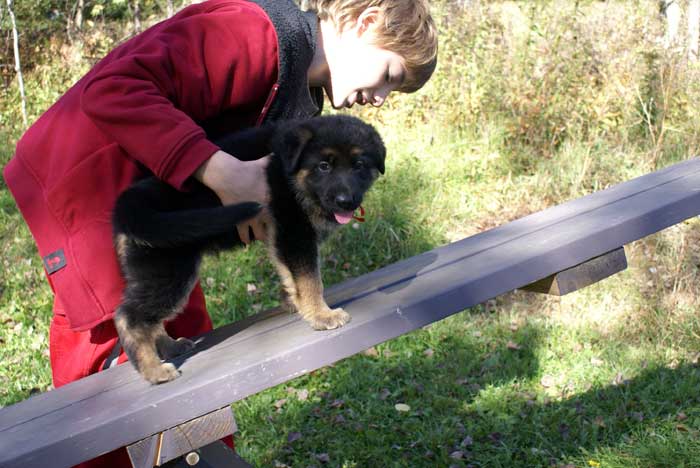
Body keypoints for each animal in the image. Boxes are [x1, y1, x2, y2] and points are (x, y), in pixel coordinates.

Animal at [112, 114, 386, 384]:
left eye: (359, 165)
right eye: (324, 166)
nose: (346, 202)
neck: (289, 170)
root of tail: (131, 202)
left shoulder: (284, 236)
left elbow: (292, 275)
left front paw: (294, 302)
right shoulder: (294, 230)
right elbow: (310, 279)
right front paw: (321, 315)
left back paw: (169, 347)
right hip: (170, 269)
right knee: (130, 318)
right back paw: (154, 371)